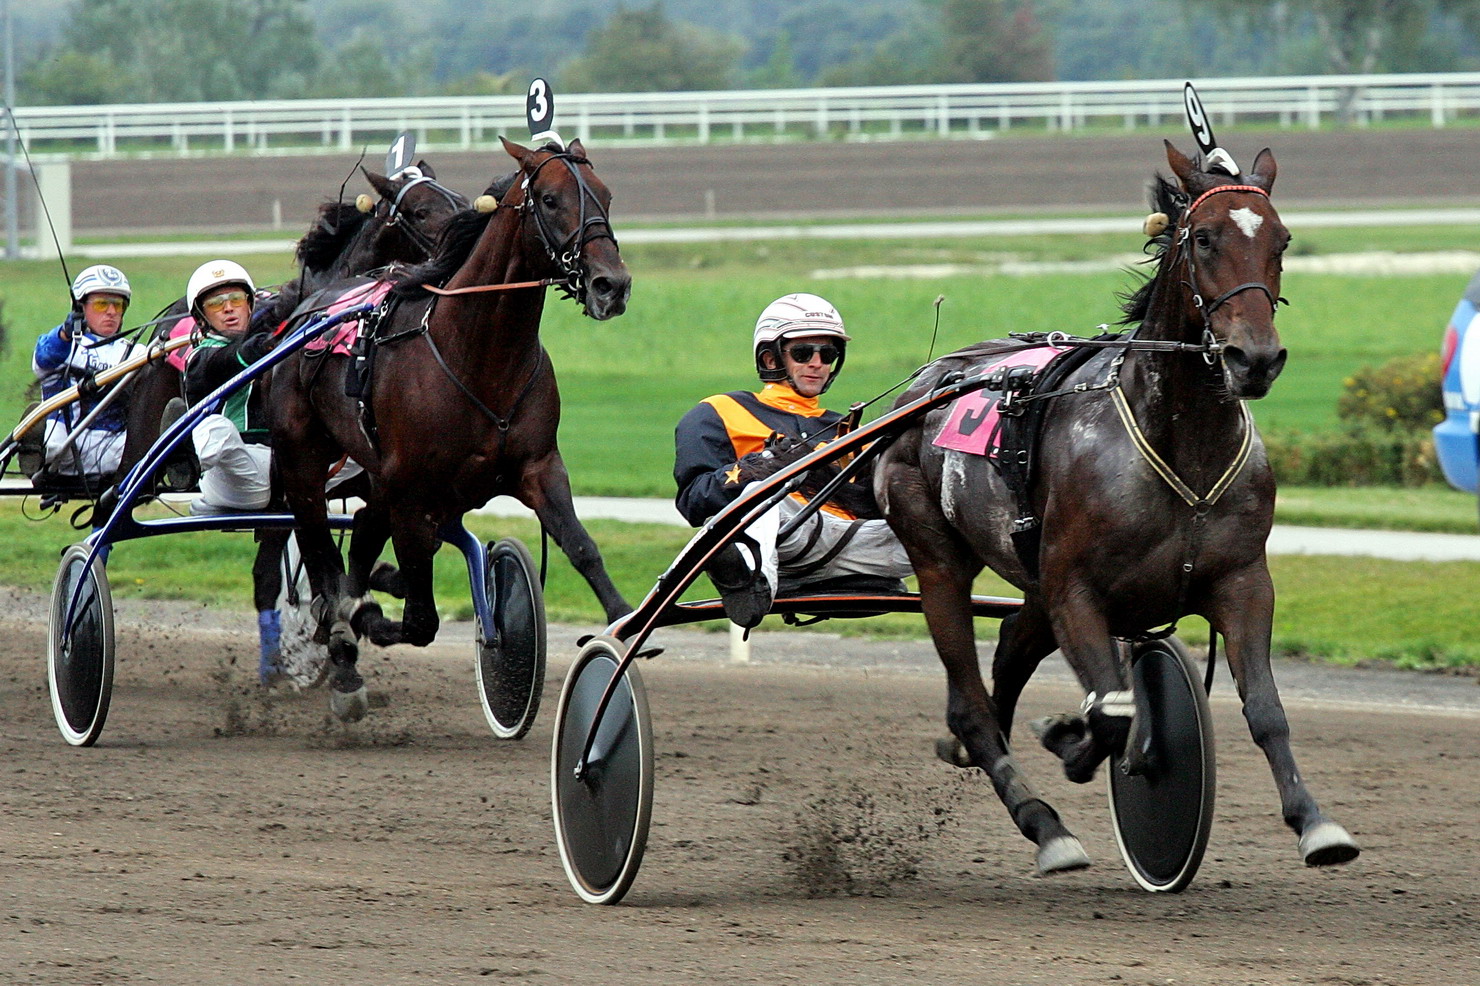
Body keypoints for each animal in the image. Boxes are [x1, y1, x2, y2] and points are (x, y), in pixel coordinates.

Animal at [275, 138, 633, 719]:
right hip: (304, 465)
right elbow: (420, 619)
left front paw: (623, 617)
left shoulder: (537, 466)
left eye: (606, 195)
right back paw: (344, 651)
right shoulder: (413, 493)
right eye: (550, 199)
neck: (479, 354)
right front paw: (366, 616)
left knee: (363, 536)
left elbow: (582, 547)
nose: (612, 284)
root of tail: (308, 310)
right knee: (321, 553)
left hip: (380, 477)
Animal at [870, 139, 1355, 876]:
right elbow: (1118, 711)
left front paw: (1315, 822)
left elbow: (1265, 708)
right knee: (973, 706)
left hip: (1030, 576)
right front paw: (1082, 744)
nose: (1256, 358)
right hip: (937, 558)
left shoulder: (1243, 580)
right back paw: (1045, 825)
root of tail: (925, 383)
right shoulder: (1076, 590)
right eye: (1204, 238)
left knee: (1008, 652)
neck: (1179, 440)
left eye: (1282, 240)